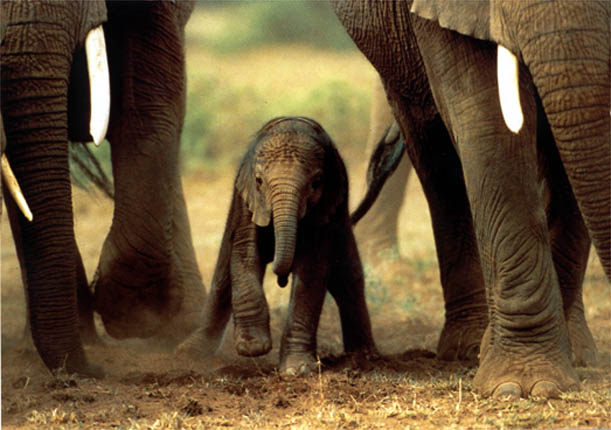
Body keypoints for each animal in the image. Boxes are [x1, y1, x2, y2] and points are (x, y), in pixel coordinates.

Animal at [178, 116, 378, 372]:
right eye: (259, 181)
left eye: (316, 183)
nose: (281, 278)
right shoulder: (247, 201)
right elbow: (246, 251)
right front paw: (254, 348)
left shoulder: (327, 208)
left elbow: (312, 268)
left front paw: (297, 369)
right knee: (222, 279)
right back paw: (188, 354)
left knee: (347, 278)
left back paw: (364, 357)